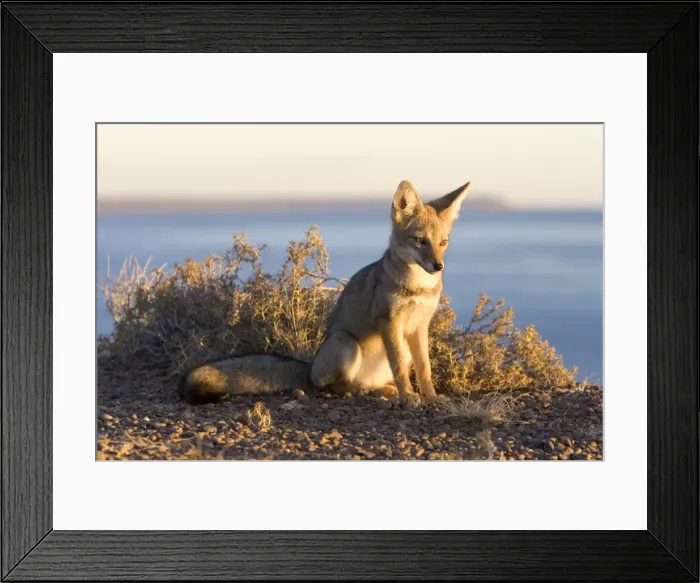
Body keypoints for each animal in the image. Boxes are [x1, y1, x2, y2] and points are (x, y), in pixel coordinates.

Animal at [179, 179, 470, 405]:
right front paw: (409, 396)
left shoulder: (419, 326)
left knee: (365, 384)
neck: (418, 287)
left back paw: (380, 390)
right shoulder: (389, 321)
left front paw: (430, 396)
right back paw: (358, 389)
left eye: (443, 242)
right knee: (328, 385)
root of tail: (309, 366)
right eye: (420, 241)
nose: (438, 266)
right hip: (346, 343)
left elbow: (424, 369)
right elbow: (399, 366)